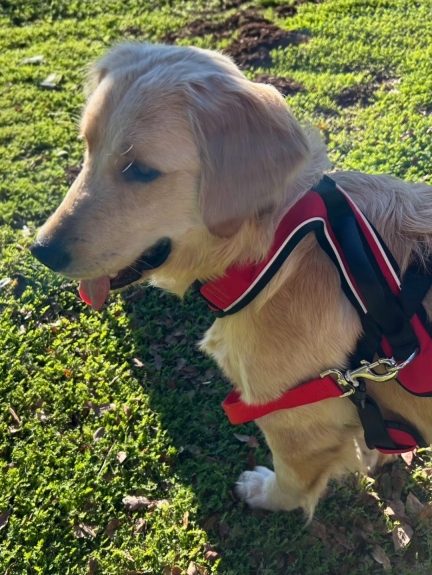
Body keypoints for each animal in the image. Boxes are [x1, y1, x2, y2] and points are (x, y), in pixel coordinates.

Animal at [31, 43, 432, 518]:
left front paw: (265, 494)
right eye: (88, 146)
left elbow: (292, 480)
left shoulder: (295, 419)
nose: (40, 250)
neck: (277, 248)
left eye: (140, 170)